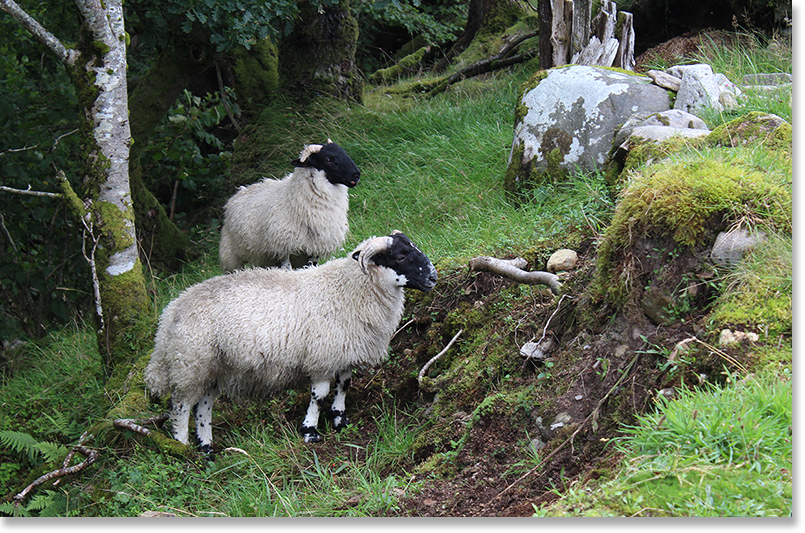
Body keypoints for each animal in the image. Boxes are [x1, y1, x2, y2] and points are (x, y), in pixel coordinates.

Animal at [141, 231, 436, 450]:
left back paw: (206, 448)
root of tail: (171, 312)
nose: (433, 277)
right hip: (190, 364)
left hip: (213, 367)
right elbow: (319, 395)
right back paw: (183, 448)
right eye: (401, 256)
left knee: (203, 406)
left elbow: (344, 385)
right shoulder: (321, 357)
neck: (349, 289)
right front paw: (310, 431)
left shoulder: (343, 352)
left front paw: (339, 420)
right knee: (180, 408)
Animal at [218, 139, 360, 272]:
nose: (356, 175)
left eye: (344, 153)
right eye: (328, 159)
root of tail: (241, 190)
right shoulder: (283, 247)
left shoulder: (315, 249)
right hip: (231, 255)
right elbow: (287, 269)